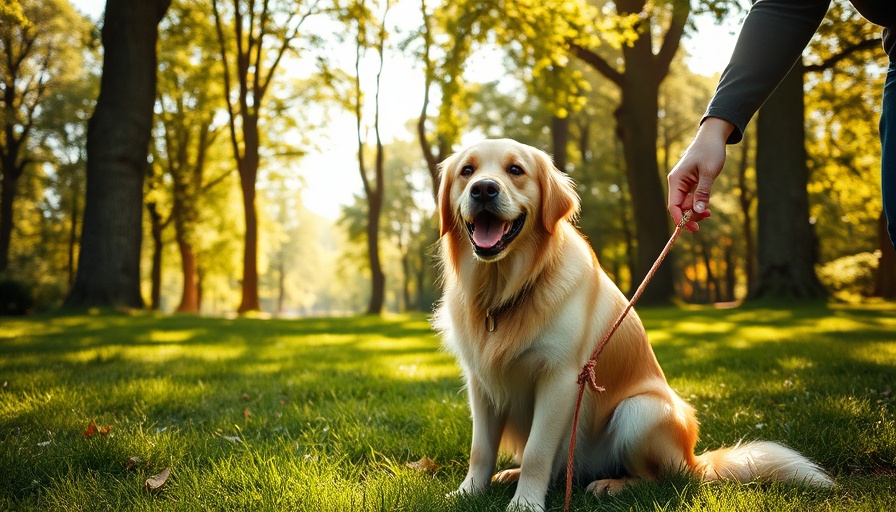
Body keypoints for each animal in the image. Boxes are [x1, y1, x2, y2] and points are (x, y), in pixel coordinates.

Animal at [434, 138, 832, 510]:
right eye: (467, 171)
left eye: (515, 170)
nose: (484, 189)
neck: (505, 291)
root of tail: (696, 461)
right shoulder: (480, 383)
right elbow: (481, 450)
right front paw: (467, 493)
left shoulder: (560, 378)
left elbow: (536, 452)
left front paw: (525, 503)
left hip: (640, 410)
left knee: (662, 479)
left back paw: (611, 485)